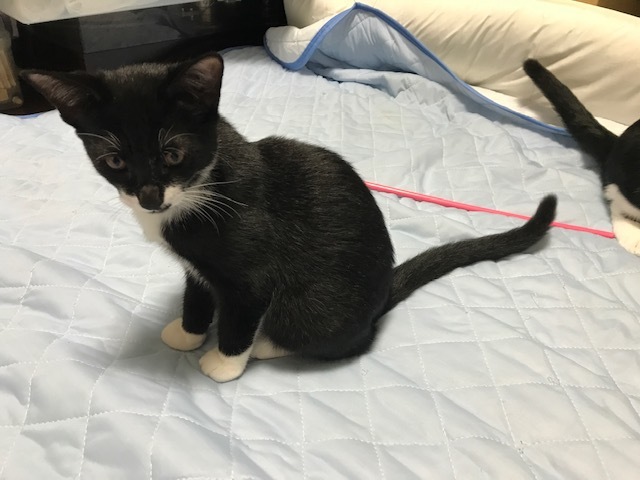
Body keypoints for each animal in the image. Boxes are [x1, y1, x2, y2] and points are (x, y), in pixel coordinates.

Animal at [21, 53, 557, 382]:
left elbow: (241, 312)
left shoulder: (250, 272)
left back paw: (268, 345)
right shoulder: (198, 266)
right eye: (114, 161)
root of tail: (381, 296)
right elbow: (197, 293)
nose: (150, 197)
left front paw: (223, 362)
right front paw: (188, 332)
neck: (201, 189)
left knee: (343, 339)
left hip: (318, 303)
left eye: (172, 154)